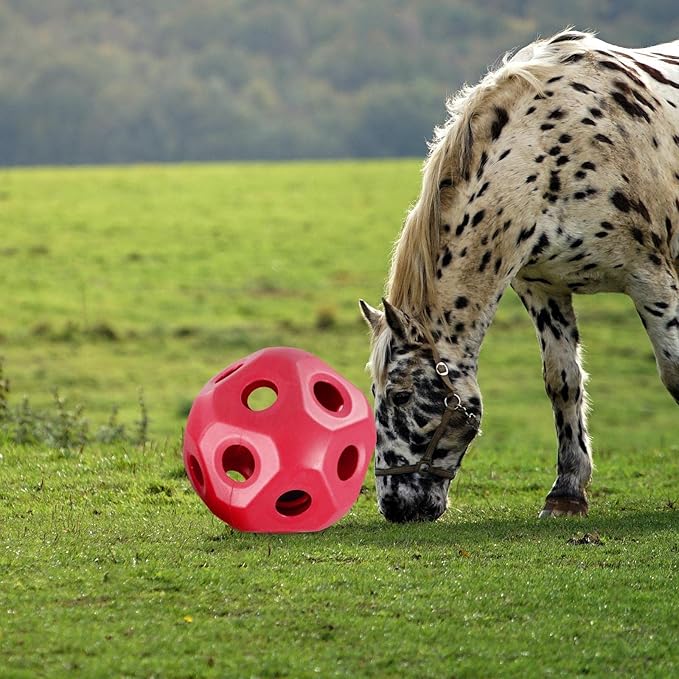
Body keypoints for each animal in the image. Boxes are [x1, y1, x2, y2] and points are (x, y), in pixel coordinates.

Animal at [360, 29, 679, 523]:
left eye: (400, 396)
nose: (394, 506)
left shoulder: (650, 278)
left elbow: (675, 371)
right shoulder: (542, 287)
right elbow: (562, 381)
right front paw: (566, 493)